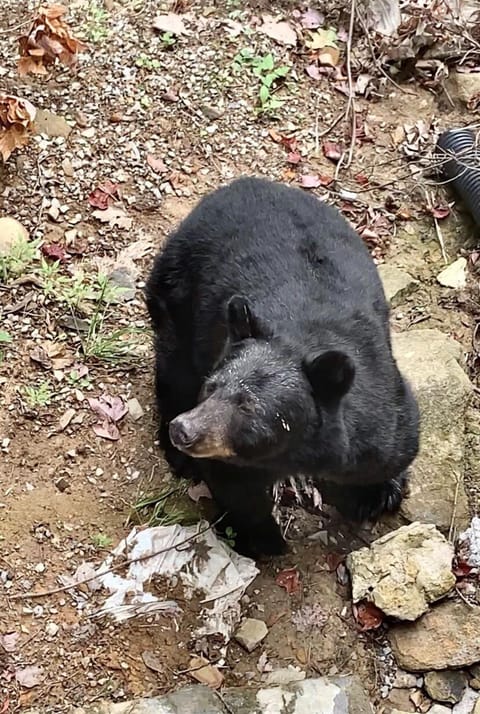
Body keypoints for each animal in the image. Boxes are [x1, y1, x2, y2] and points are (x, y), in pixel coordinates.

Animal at [145, 176, 420, 558]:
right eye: (211, 388)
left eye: (249, 406)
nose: (184, 430)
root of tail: (242, 182)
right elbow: (234, 484)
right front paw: (263, 538)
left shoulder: (376, 407)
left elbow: (393, 445)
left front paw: (377, 495)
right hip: (177, 294)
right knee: (175, 370)